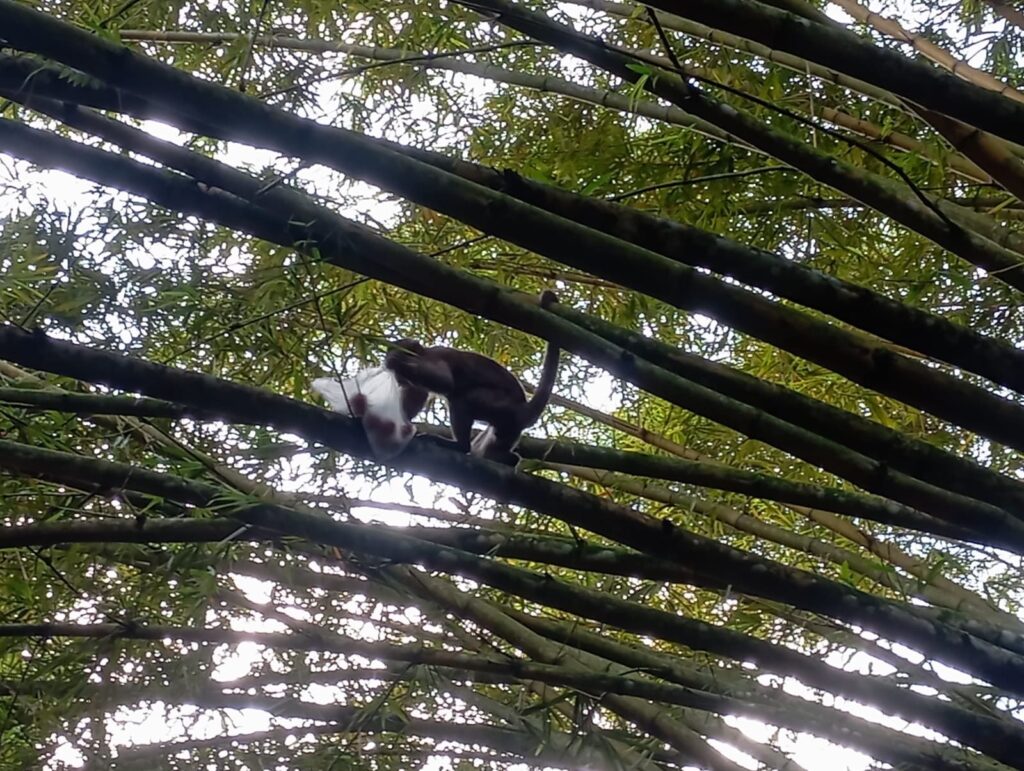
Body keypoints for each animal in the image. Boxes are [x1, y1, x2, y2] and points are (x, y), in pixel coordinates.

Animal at [384, 290, 560, 466]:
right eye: (400, 379)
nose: (398, 379)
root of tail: (524, 408)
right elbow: (418, 394)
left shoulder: (434, 356)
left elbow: (446, 381)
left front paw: (395, 361)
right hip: (507, 429)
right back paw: (505, 458)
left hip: (503, 406)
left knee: (462, 399)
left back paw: (461, 446)